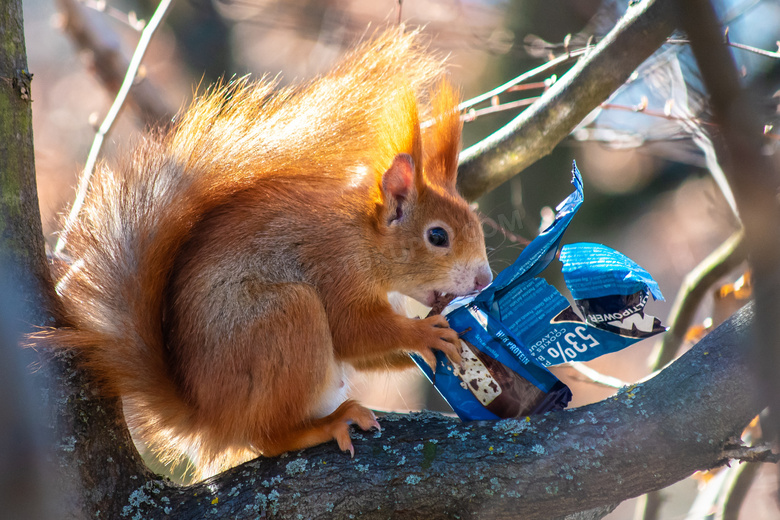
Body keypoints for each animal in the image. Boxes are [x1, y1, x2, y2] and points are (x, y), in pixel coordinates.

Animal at [42, 29, 490, 480]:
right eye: (437, 236)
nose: (485, 280)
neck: (365, 240)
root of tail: (209, 420)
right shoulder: (335, 268)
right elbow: (353, 331)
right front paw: (423, 333)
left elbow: (365, 353)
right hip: (285, 319)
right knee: (267, 437)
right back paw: (326, 425)